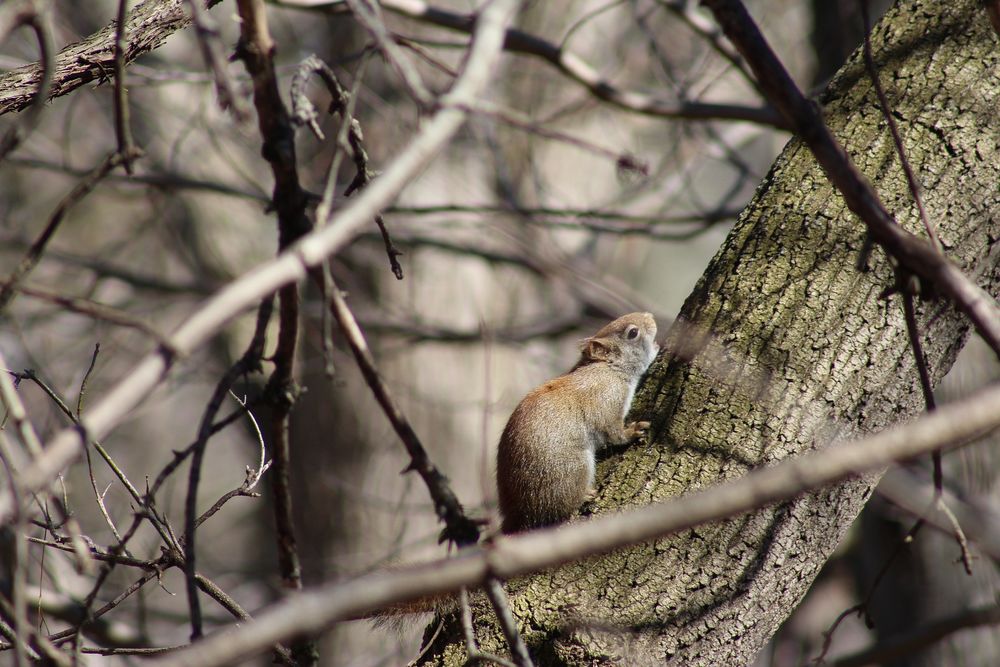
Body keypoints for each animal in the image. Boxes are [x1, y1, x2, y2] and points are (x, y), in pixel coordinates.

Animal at [496, 312, 659, 534]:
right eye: (633, 333)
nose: (650, 316)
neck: (607, 369)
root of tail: (518, 512)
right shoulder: (606, 400)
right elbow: (614, 433)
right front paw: (632, 431)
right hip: (572, 468)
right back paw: (583, 496)